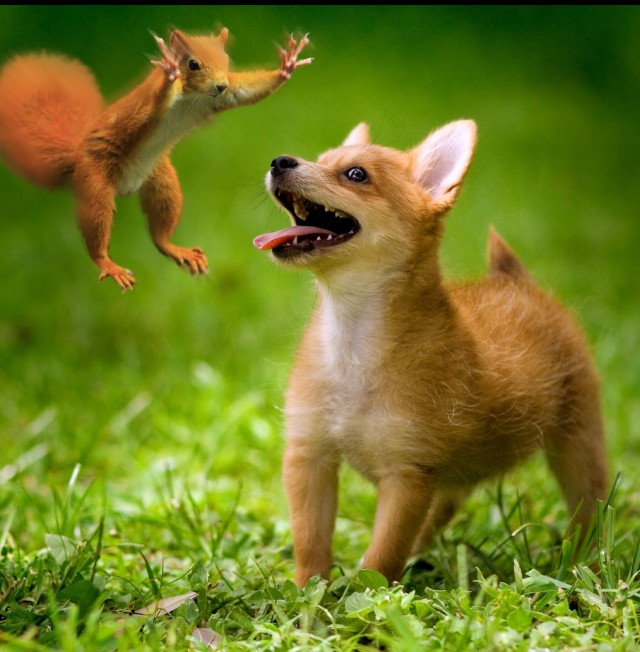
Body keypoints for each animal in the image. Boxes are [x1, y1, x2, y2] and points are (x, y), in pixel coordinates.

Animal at [0, 28, 311, 290]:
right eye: (193, 64)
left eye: (225, 59)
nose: (221, 85)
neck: (192, 97)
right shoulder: (149, 104)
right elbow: (155, 100)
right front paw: (170, 71)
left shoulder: (225, 96)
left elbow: (249, 91)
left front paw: (287, 66)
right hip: (95, 182)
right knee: (96, 228)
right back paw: (108, 264)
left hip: (162, 183)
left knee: (160, 234)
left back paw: (176, 249)